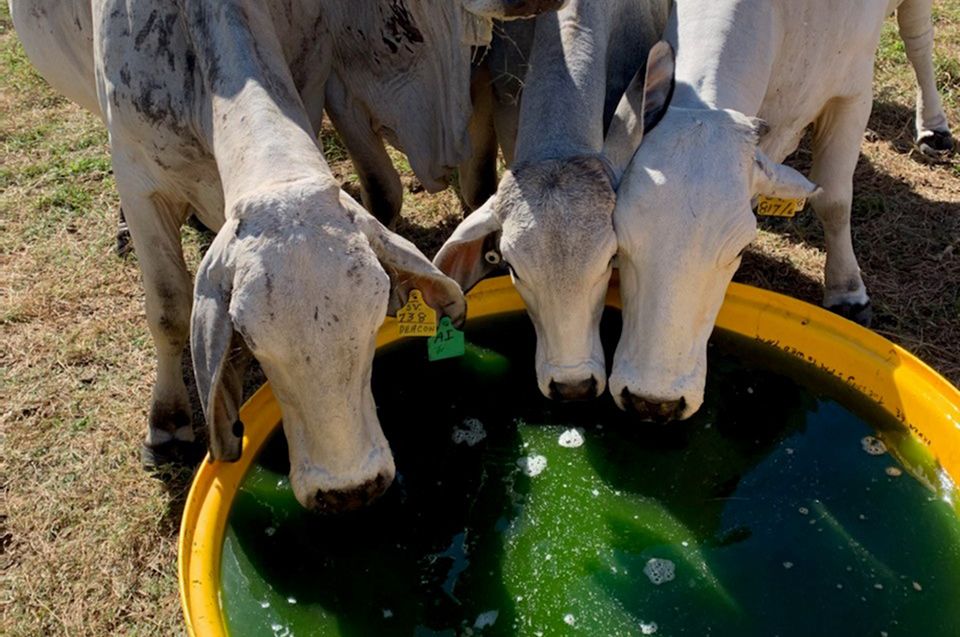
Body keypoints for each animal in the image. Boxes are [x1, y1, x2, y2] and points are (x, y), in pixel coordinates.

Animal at [10, 0, 559, 512]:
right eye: (251, 341)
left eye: (374, 323)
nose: (350, 490)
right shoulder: (136, 174)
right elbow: (168, 310)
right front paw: (166, 427)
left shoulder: (315, 91)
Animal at [604, 0, 954, 422]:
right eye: (619, 245)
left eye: (739, 249)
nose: (654, 401)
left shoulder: (853, 91)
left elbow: (834, 199)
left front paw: (848, 292)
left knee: (917, 34)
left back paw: (935, 128)